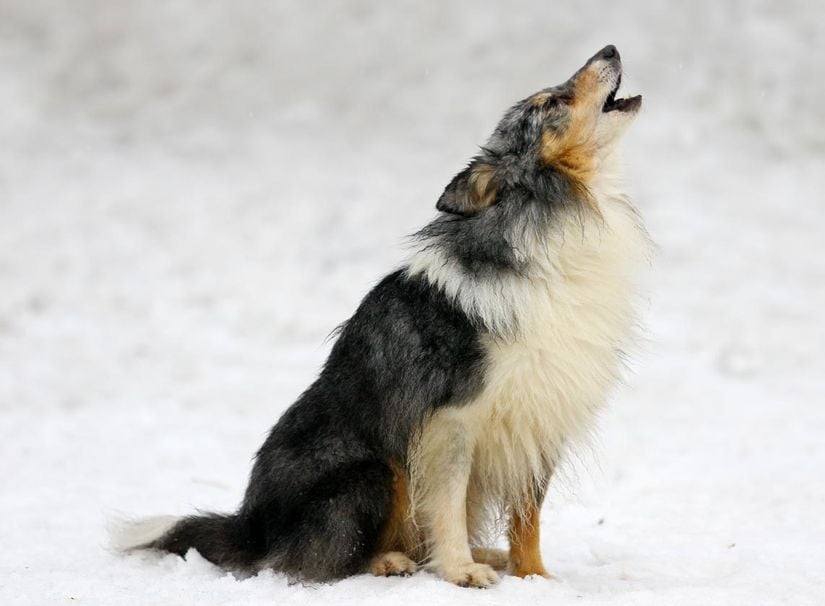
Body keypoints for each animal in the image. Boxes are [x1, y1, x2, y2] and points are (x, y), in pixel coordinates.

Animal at [112, 46, 652, 588]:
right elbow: (447, 504)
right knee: (315, 561)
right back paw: (392, 562)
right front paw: (461, 571)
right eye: (551, 101)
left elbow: (527, 518)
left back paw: (483, 553)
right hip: (373, 472)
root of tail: (252, 526)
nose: (610, 49)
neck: (552, 215)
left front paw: (534, 577)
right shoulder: (450, 421)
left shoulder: (538, 421)